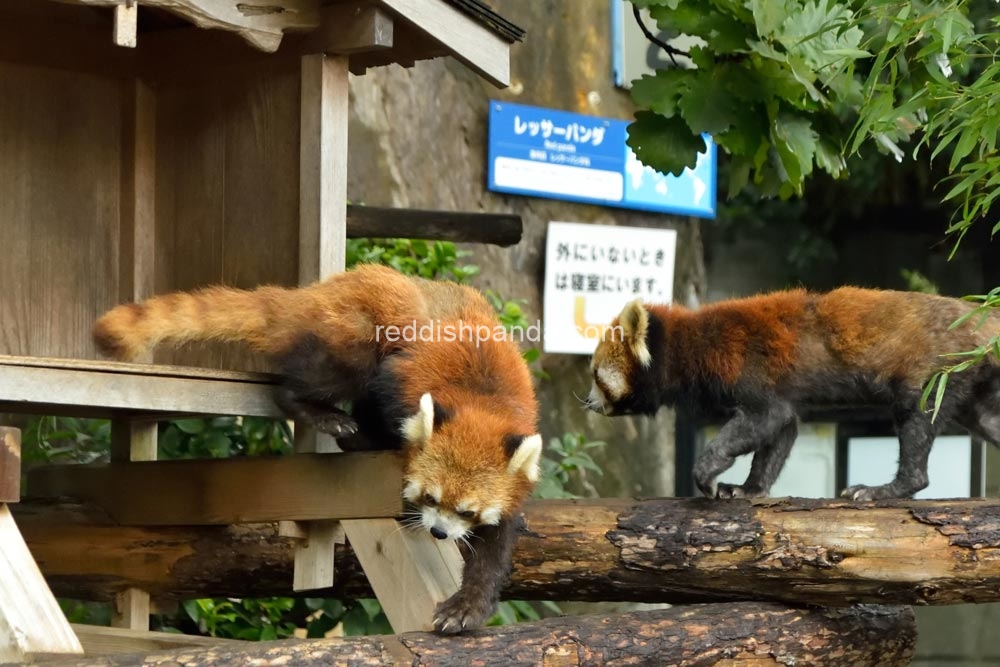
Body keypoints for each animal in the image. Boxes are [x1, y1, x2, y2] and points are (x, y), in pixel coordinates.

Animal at [94, 264, 544, 636]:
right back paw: (322, 414)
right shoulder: (403, 378)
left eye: (466, 512)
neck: (482, 400)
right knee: (324, 374)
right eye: (430, 497)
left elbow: (494, 547)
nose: (438, 532)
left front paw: (467, 607)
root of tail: (320, 289)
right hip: (356, 328)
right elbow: (380, 399)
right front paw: (370, 444)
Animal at [584, 288, 1000, 500]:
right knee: (988, 420)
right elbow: (781, 430)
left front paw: (707, 472)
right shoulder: (780, 391)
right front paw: (749, 488)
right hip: (974, 384)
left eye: (596, 376)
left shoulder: (746, 365)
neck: (691, 347)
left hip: (936, 369)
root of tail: (978, 317)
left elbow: (762, 419)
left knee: (917, 418)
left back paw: (887, 489)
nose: (587, 402)